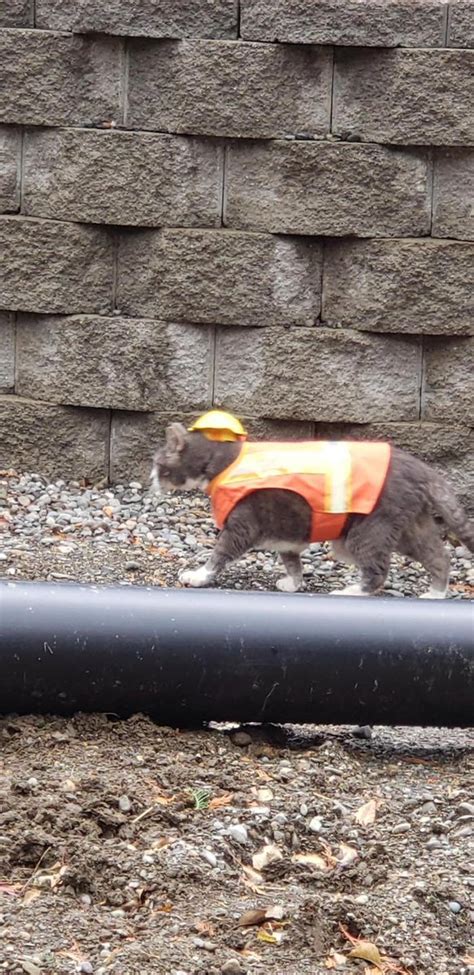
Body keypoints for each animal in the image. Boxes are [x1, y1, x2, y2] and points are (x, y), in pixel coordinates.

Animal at [150, 424, 472, 600]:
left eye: (157, 463)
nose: (150, 479)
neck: (223, 461)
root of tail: (423, 469)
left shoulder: (243, 524)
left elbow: (220, 553)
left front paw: (197, 576)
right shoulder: (287, 534)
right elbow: (292, 562)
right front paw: (293, 584)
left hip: (371, 527)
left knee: (378, 570)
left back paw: (350, 591)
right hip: (410, 525)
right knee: (438, 556)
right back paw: (436, 592)